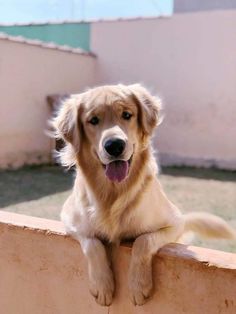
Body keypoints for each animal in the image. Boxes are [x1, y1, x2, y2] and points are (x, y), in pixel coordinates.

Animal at [51, 84, 236, 306]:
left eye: (127, 114)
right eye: (93, 120)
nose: (114, 145)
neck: (114, 193)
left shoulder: (174, 223)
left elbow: (143, 241)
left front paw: (139, 286)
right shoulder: (69, 219)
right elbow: (92, 243)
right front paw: (102, 285)